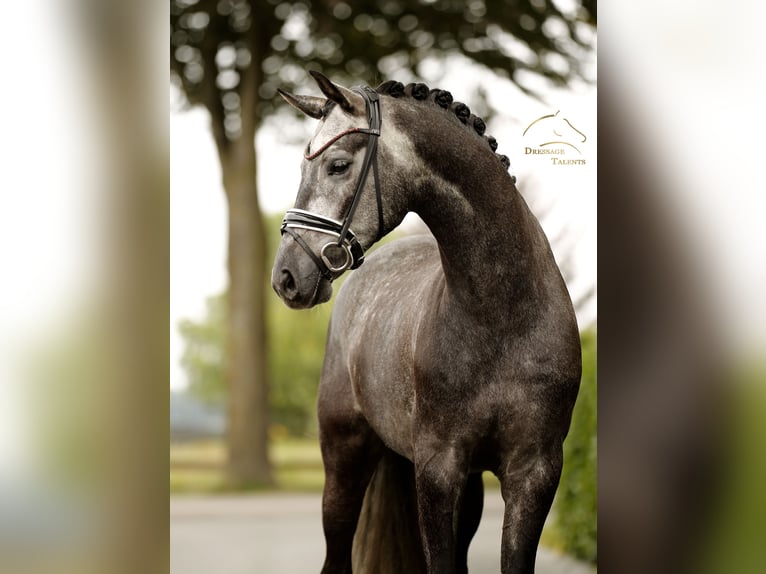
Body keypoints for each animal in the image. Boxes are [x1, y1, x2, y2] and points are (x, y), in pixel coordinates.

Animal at [271, 71, 581, 574]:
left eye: (337, 165)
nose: (286, 277)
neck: (502, 318)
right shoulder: (438, 468)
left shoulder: (534, 473)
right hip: (343, 458)